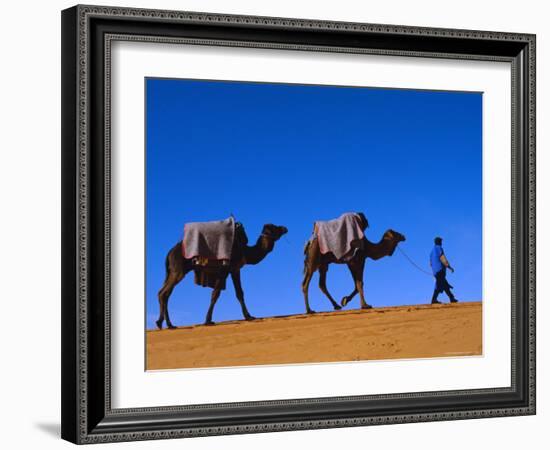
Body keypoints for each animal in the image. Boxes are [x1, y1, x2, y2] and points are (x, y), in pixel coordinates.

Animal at [156, 223, 288, 328]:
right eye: (274, 227)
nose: (285, 228)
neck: (244, 250)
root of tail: (169, 253)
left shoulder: (235, 270)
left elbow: (239, 293)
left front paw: (249, 316)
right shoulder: (225, 270)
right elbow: (216, 294)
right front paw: (208, 321)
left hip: (172, 271)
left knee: (166, 293)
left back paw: (167, 324)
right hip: (178, 271)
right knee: (164, 293)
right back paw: (163, 323)